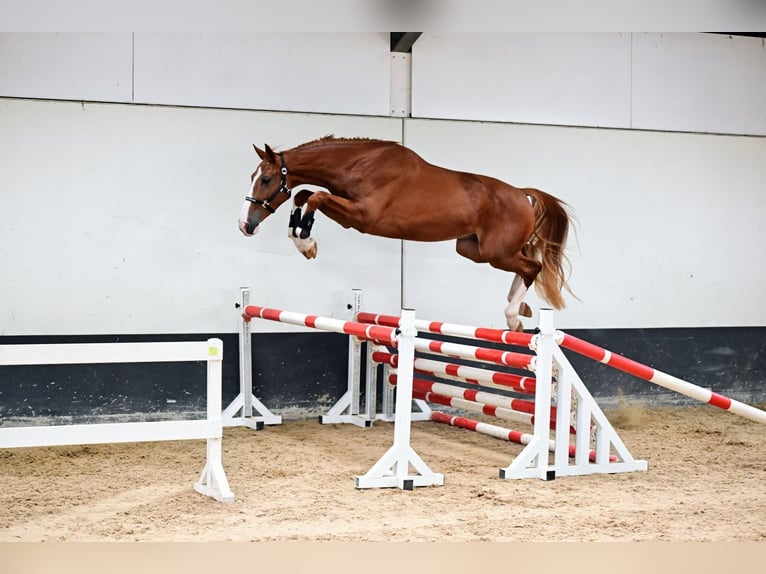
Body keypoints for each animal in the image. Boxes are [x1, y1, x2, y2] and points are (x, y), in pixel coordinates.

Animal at [237, 136, 572, 332]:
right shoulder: (347, 208)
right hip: (473, 250)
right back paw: (519, 308)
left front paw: (306, 243)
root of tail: (521, 194)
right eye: (253, 177)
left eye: (266, 179)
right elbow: (304, 194)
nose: (245, 225)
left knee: (533, 266)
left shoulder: (362, 216)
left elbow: (316, 196)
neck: (359, 164)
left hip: (494, 252)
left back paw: (513, 315)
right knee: (526, 262)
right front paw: (302, 238)